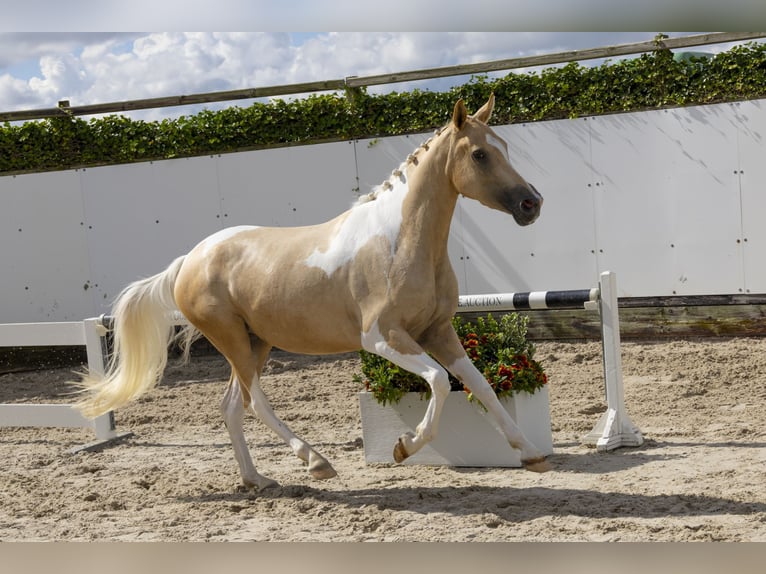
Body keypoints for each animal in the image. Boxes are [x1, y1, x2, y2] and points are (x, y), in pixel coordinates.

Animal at [76, 94, 544, 490]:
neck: (399, 241)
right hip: (231, 338)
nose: (531, 204)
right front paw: (403, 446)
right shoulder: (382, 337)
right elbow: (440, 381)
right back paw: (316, 461)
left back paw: (256, 481)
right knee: (255, 403)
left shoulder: (438, 331)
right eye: (480, 154)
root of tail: (190, 259)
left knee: (231, 406)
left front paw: (530, 452)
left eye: (504, 146)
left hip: (255, 342)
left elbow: (480, 384)